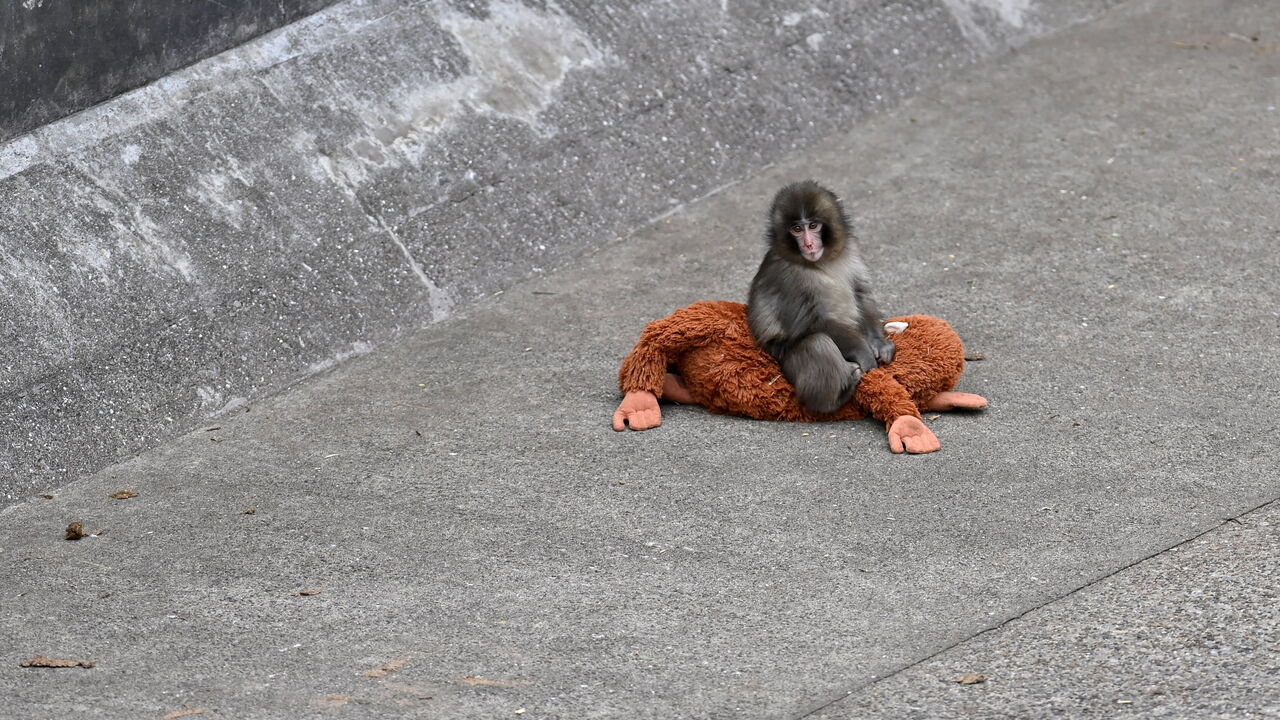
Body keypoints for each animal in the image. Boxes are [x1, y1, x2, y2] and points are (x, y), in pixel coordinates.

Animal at [747, 181, 895, 415]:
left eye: (813, 226)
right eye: (797, 229)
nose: (808, 244)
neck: (820, 261)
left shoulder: (851, 249)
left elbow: (860, 293)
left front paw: (879, 344)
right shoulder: (788, 277)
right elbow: (813, 323)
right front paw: (864, 352)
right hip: (785, 358)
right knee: (817, 342)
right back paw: (836, 398)